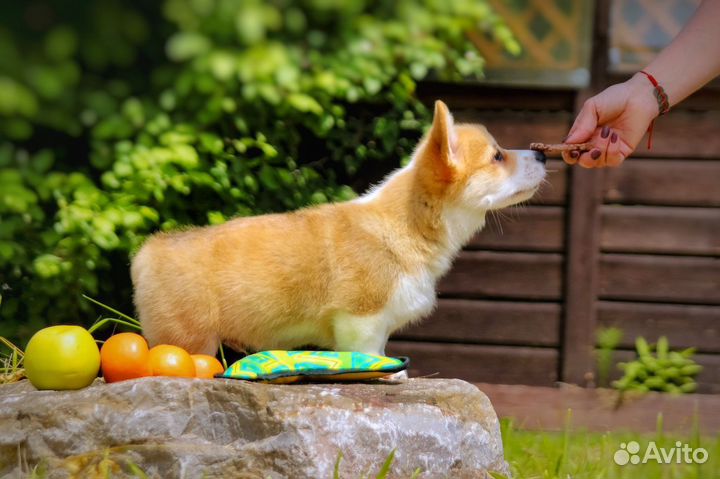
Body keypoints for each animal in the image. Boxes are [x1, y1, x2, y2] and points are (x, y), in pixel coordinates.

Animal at [131, 101, 544, 360]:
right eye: (497, 156)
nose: (541, 153)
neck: (406, 223)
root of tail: (147, 253)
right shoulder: (361, 319)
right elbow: (369, 354)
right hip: (188, 339)